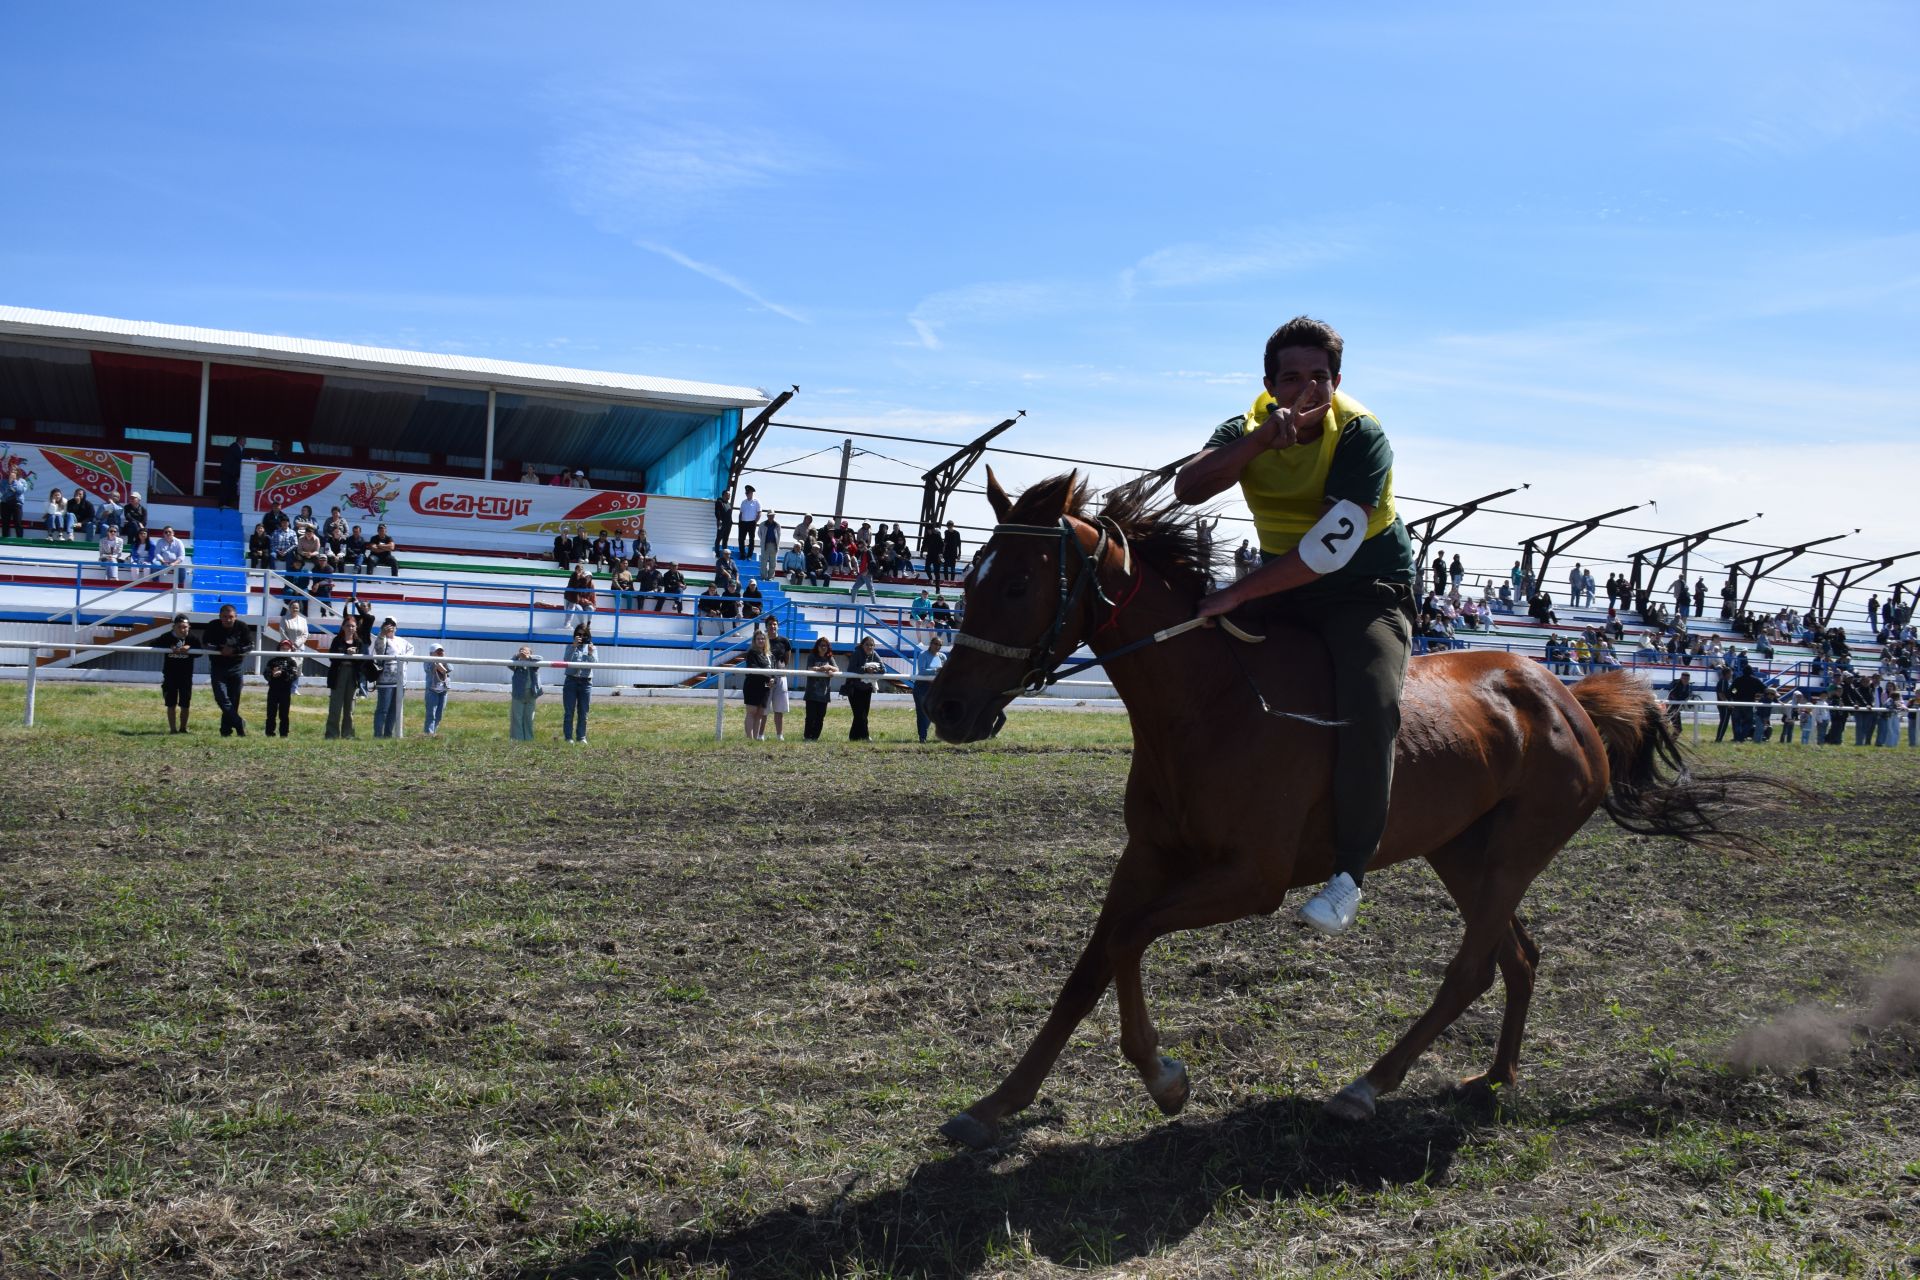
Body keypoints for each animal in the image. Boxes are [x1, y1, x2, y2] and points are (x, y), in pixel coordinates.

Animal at [921, 470, 1758, 1151]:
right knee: (1517, 959)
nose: (949, 707)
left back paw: (1368, 1086)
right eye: (970, 579)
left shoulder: (1251, 881)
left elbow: (1129, 940)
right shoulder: (1149, 857)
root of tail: (1568, 696)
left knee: (1472, 969)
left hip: (1517, 851)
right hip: (1462, 851)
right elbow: (1090, 967)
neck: (1210, 703)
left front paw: (1165, 1078)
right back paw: (1496, 1077)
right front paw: (999, 1103)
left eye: (1017, 586)